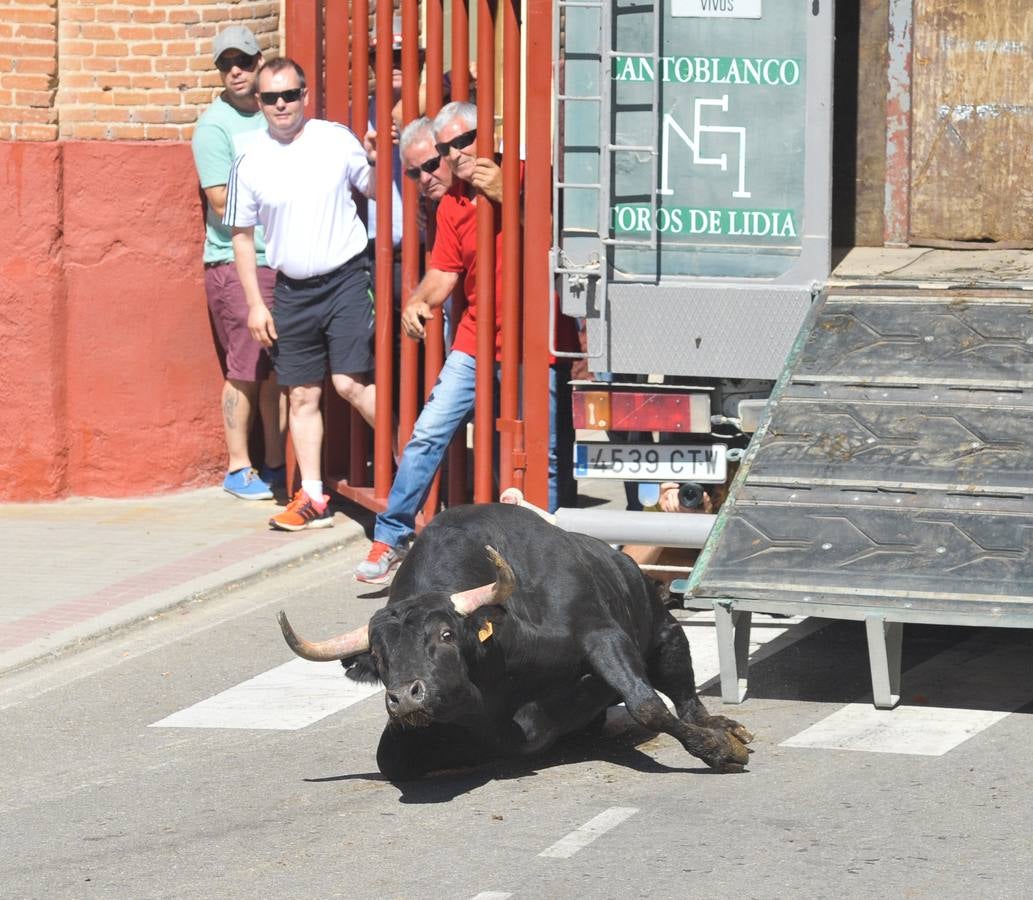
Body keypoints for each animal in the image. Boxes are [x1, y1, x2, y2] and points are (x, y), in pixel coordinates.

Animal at [283, 504, 752, 777]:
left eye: (446, 634)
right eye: (379, 658)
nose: (407, 698)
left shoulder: (600, 634)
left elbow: (647, 704)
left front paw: (719, 750)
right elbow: (391, 760)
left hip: (665, 633)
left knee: (683, 693)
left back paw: (723, 727)